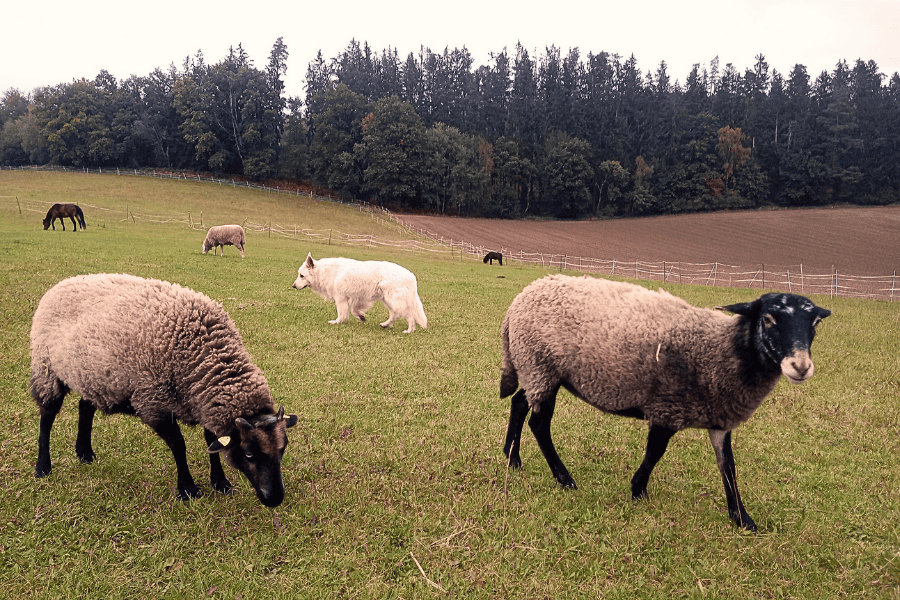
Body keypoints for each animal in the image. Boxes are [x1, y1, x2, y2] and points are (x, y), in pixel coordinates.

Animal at [30, 274, 298, 506]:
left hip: (95, 377)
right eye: (249, 454)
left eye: (282, 450)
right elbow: (179, 446)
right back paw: (43, 467)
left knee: (85, 407)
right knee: (47, 417)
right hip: (46, 368)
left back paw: (85, 453)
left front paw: (220, 482)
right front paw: (187, 489)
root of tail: (63, 282)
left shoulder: (202, 401)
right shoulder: (153, 404)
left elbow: (211, 441)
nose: (275, 499)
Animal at [500, 274, 828, 532]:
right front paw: (638, 490)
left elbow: (728, 467)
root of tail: (520, 298)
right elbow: (655, 452)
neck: (721, 349)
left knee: (519, 403)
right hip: (541, 366)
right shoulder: (667, 407)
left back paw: (512, 457)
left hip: (535, 370)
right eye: (768, 319)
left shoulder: (719, 418)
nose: (801, 367)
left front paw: (742, 518)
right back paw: (564, 478)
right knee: (539, 423)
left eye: (814, 323)